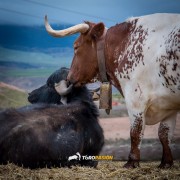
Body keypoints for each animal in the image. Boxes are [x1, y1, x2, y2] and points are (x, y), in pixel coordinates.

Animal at [45, 13, 180, 168]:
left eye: (76, 46)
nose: (69, 78)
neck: (125, 45)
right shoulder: (169, 106)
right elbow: (164, 134)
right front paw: (166, 163)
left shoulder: (135, 99)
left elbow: (135, 132)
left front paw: (132, 162)